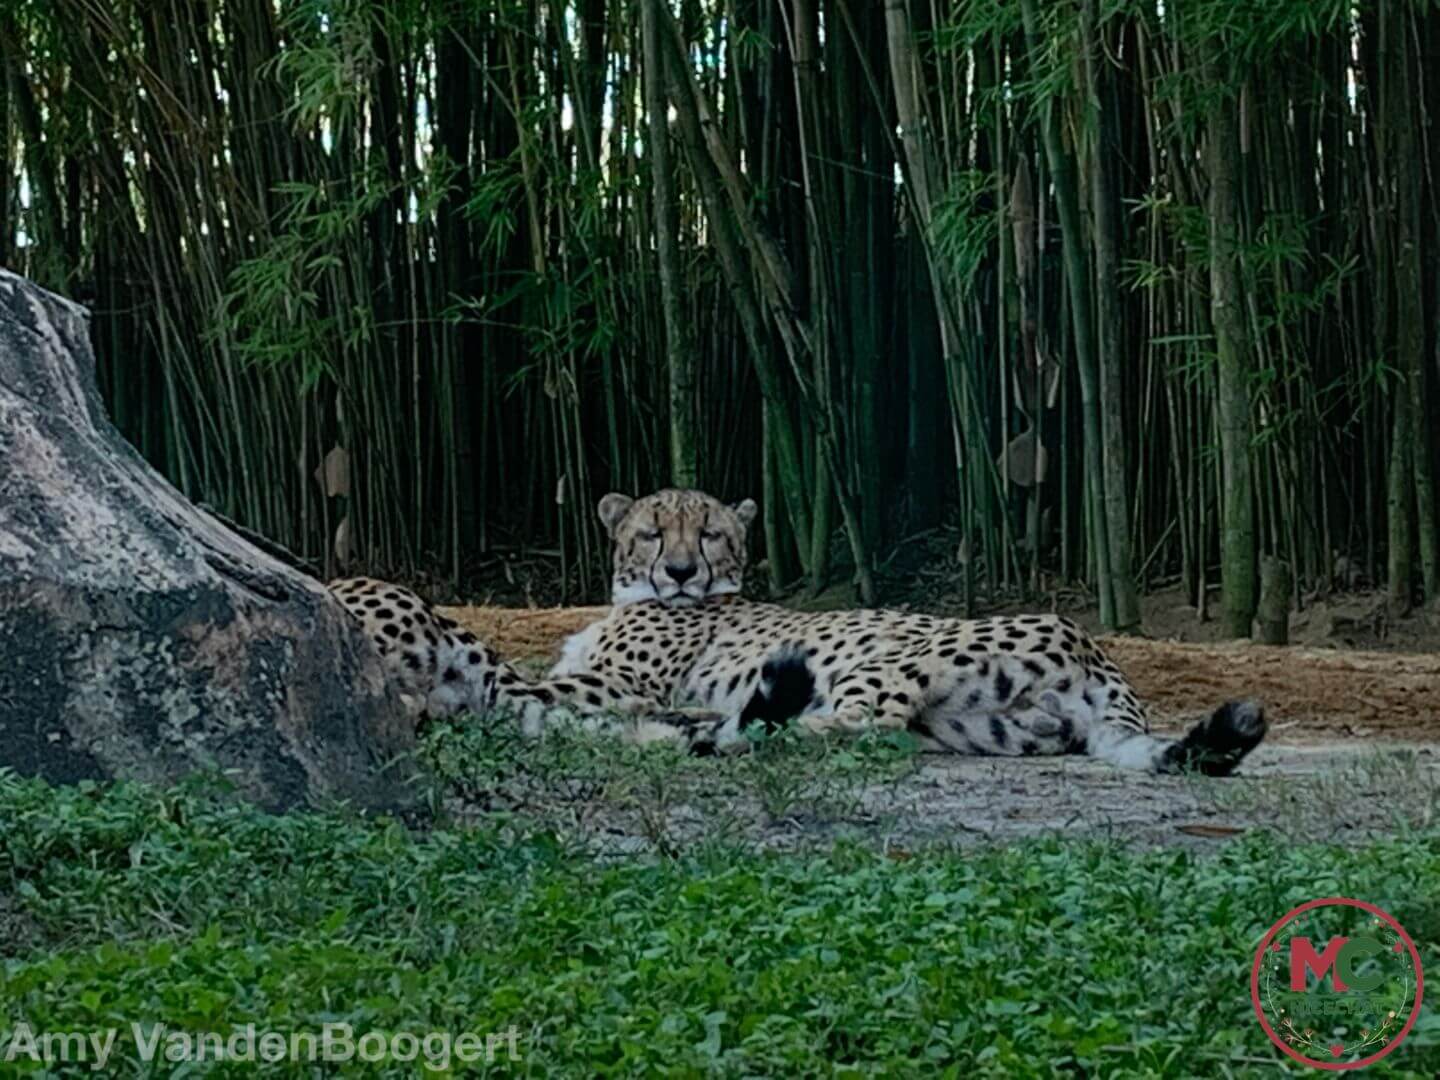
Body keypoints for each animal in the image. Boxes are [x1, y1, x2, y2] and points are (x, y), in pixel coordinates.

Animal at [329, 489, 1272, 777]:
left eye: (710, 532)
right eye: (653, 531)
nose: (681, 571)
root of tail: (1089, 646)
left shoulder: (609, 681)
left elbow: (528, 689)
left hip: (885, 662)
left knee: (847, 728)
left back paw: (732, 729)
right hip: (984, 726)